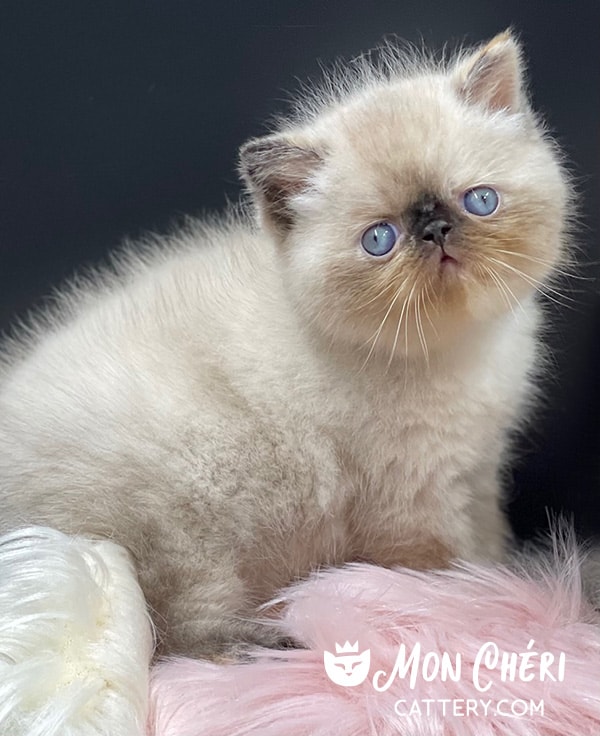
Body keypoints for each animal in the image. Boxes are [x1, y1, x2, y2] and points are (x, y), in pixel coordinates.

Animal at [0, 31, 572, 660]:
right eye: (380, 239)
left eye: (480, 201)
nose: (435, 230)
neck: (459, 352)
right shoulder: (409, 501)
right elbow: (438, 570)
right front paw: (464, 605)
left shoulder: (477, 470)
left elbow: (487, 542)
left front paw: (500, 580)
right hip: (183, 521)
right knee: (174, 632)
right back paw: (272, 641)